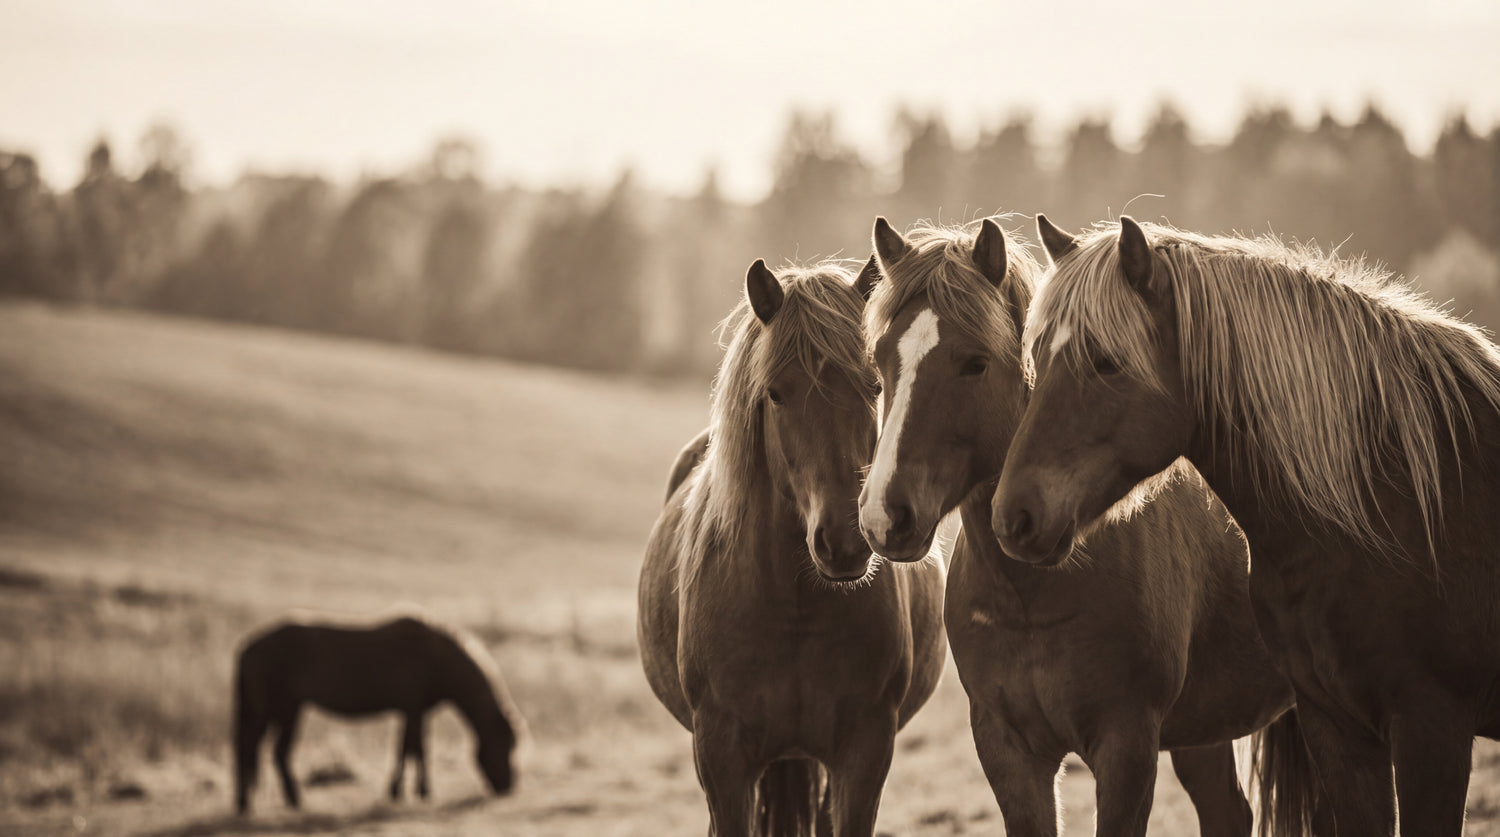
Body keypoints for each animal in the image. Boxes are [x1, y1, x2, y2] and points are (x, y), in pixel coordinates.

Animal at [232, 614, 523, 814]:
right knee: (252, 749)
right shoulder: (413, 710)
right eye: (505, 745)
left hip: (288, 709)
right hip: (272, 711)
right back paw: (254, 803)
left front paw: (401, 791)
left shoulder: (413, 712)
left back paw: (285, 802)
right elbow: (415, 750)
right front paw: (419, 791)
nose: (509, 787)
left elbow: (408, 748)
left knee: (274, 753)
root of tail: (247, 646)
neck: (437, 656)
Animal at [638, 256, 947, 837]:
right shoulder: (721, 759)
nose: (845, 542)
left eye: (875, 385)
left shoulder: (864, 753)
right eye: (776, 393)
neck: (793, 610)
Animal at [858, 216, 1319, 837]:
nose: (886, 516)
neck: (1032, 595)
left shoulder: (1126, 746)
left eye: (973, 362)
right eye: (882, 361)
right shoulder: (1009, 750)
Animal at [993, 213, 1500, 835]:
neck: (1391, 507)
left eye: (1106, 361)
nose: (1014, 517)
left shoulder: (1432, 727)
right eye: (1038, 356)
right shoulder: (1338, 727)